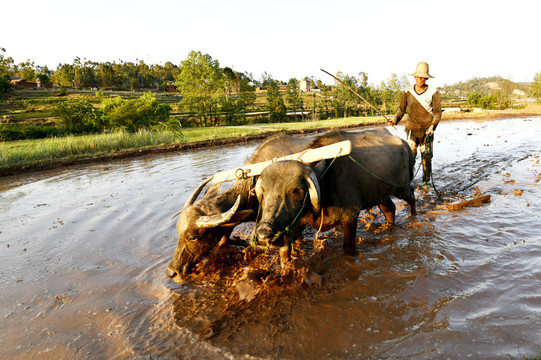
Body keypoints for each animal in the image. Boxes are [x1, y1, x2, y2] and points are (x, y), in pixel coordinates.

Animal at [254, 128, 418, 258]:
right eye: (264, 191)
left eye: (296, 190)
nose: (263, 232)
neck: (324, 183)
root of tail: (405, 144)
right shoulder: (298, 223)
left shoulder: (350, 216)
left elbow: (348, 247)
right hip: (380, 194)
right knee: (390, 209)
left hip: (401, 188)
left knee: (411, 196)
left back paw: (414, 217)